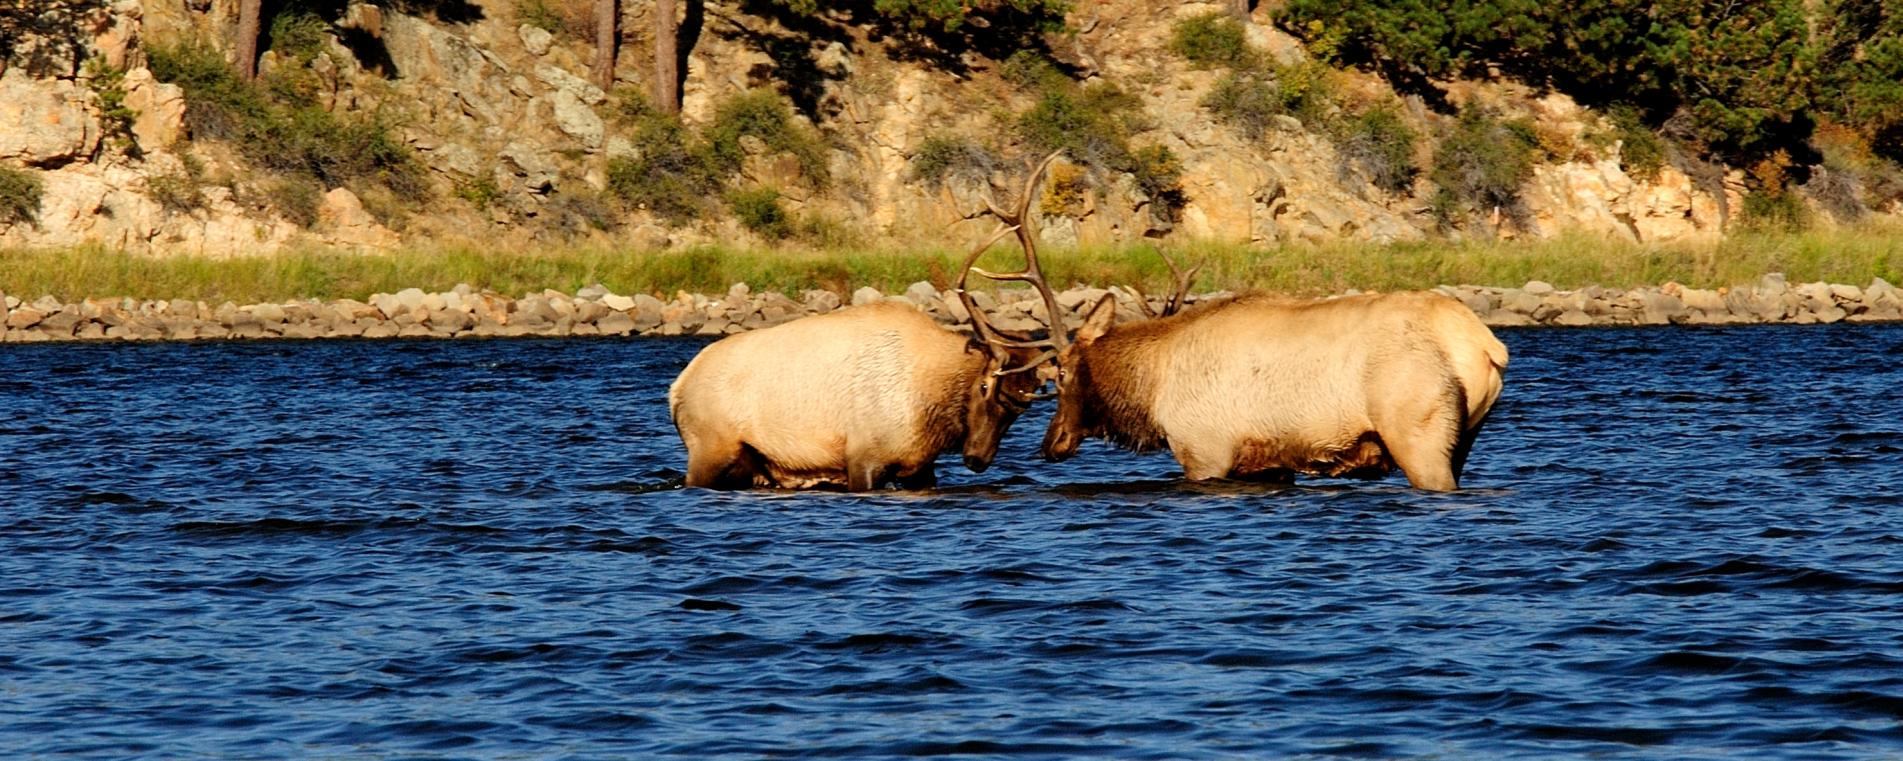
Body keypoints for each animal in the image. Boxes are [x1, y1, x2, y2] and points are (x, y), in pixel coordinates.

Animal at [666, 153, 1073, 494]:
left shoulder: (920, 467)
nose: (977, 459)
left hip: (753, 464)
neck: (930, 406)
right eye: (986, 386)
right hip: (710, 448)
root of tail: (676, 389)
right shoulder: (863, 457)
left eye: (1023, 405)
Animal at [1042, 256, 1499, 494]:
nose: (1051, 443)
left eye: (1060, 371)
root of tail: (1485, 344)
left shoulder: (1203, 451)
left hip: (1417, 434)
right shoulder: (1268, 462)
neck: (1150, 389)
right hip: (1464, 437)